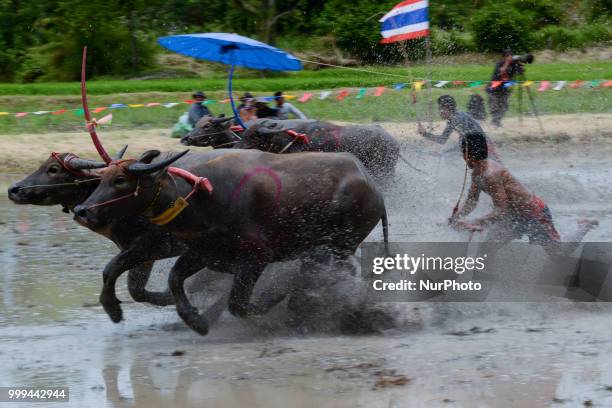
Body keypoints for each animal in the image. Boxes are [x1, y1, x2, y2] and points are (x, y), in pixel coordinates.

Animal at [75, 150, 388, 334]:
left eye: (120, 180)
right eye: (100, 177)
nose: (82, 210)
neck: (203, 200)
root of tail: (370, 183)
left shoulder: (256, 257)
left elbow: (238, 303)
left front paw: (274, 298)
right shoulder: (204, 254)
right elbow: (172, 279)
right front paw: (195, 320)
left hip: (338, 247)